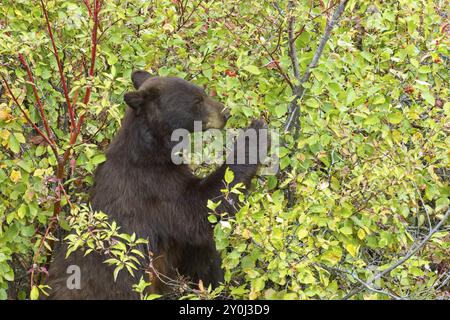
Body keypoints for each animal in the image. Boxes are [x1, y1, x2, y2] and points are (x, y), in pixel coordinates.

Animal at [46, 71, 268, 298]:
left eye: (203, 92)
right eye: (197, 101)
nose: (226, 113)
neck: (152, 151)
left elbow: (201, 253)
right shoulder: (154, 188)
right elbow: (199, 209)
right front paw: (255, 133)